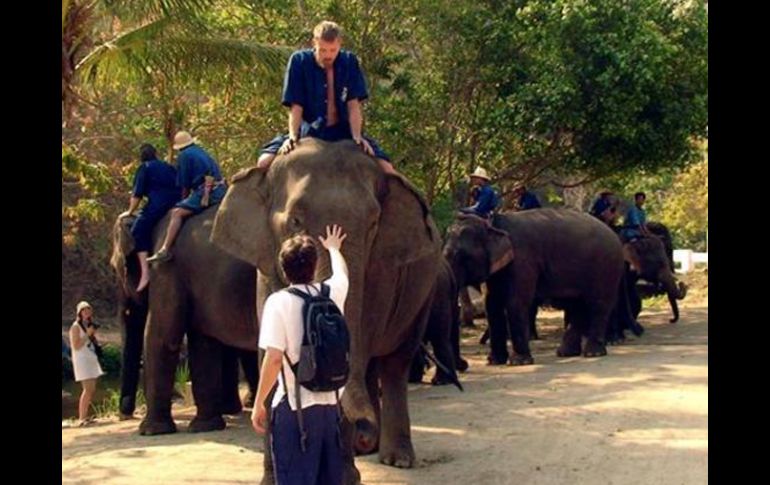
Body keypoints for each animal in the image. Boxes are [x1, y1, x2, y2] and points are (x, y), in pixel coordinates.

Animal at [109, 210, 258, 432]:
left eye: (115, 268)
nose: (124, 415)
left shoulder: (166, 268)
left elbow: (162, 337)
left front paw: (150, 431)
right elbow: (203, 342)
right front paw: (206, 425)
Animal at [210, 137, 440, 480]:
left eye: (373, 223)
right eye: (295, 220)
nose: (364, 428)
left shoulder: (382, 268)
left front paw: (345, 476)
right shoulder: (265, 269)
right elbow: (270, 354)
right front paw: (272, 479)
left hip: (425, 291)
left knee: (395, 363)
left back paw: (395, 459)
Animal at [440, 208, 640, 364]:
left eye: (459, 256)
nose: (463, 364)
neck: (493, 223)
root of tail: (615, 235)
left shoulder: (523, 259)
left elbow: (515, 302)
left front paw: (519, 362)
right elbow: (492, 305)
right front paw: (494, 362)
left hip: (605, 267)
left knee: (597, 304)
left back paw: (592, 353)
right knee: (577, 305)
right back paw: (566, 353)